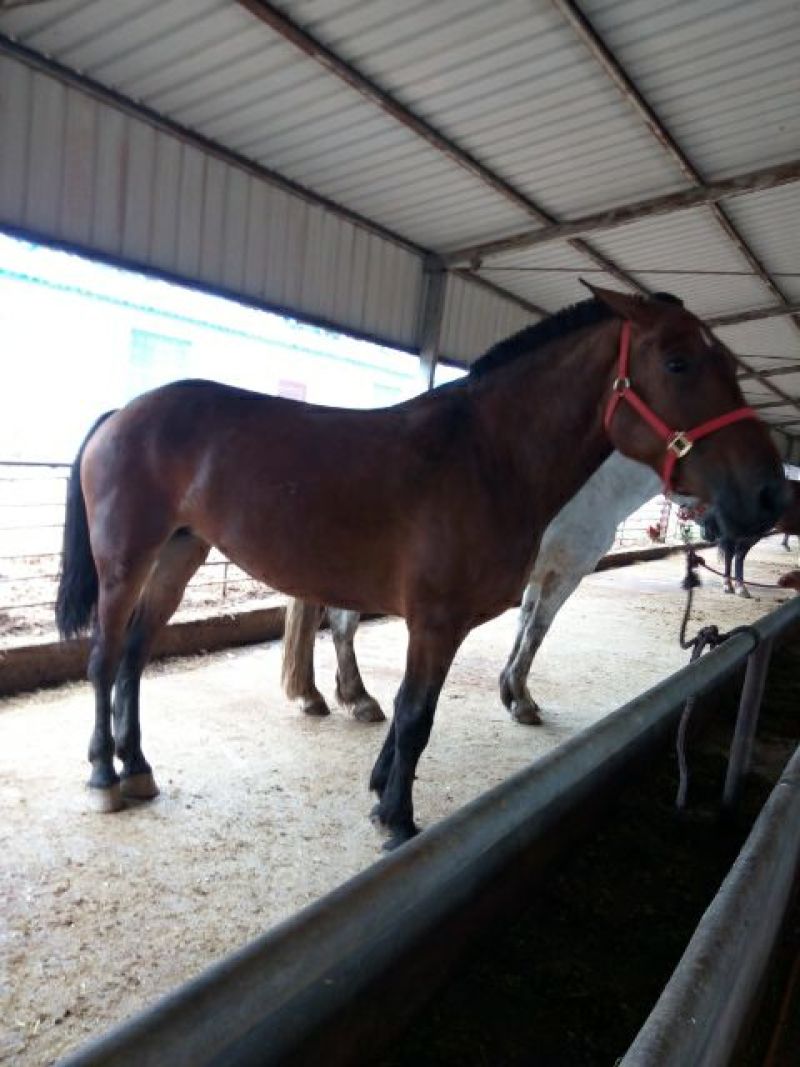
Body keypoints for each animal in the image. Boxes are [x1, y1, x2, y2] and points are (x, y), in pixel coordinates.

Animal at [282, 451, 664, 726]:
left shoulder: (539, 575)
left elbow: (523, 624)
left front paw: (512, 691)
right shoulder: (566, 573)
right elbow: (537, 632)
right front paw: (522, 703)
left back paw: (318, 696)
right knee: (342, 624)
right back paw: (359, 700)